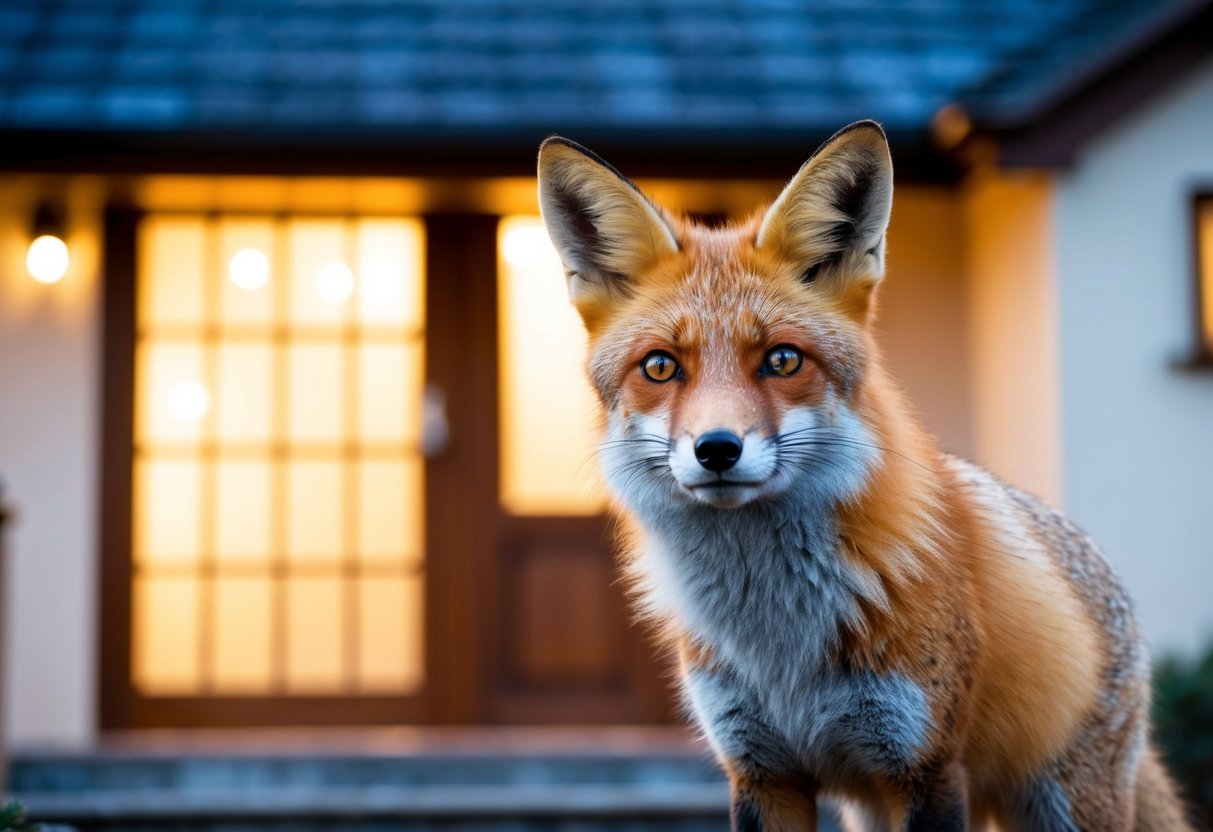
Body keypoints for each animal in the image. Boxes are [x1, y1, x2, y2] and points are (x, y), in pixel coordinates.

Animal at [535, 121, 1192, 832]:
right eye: (660, 367)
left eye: (783, 359)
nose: (717, 449)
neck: (779, 643)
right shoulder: (762, 772)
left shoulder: (926, 767)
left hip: (1058, 803)